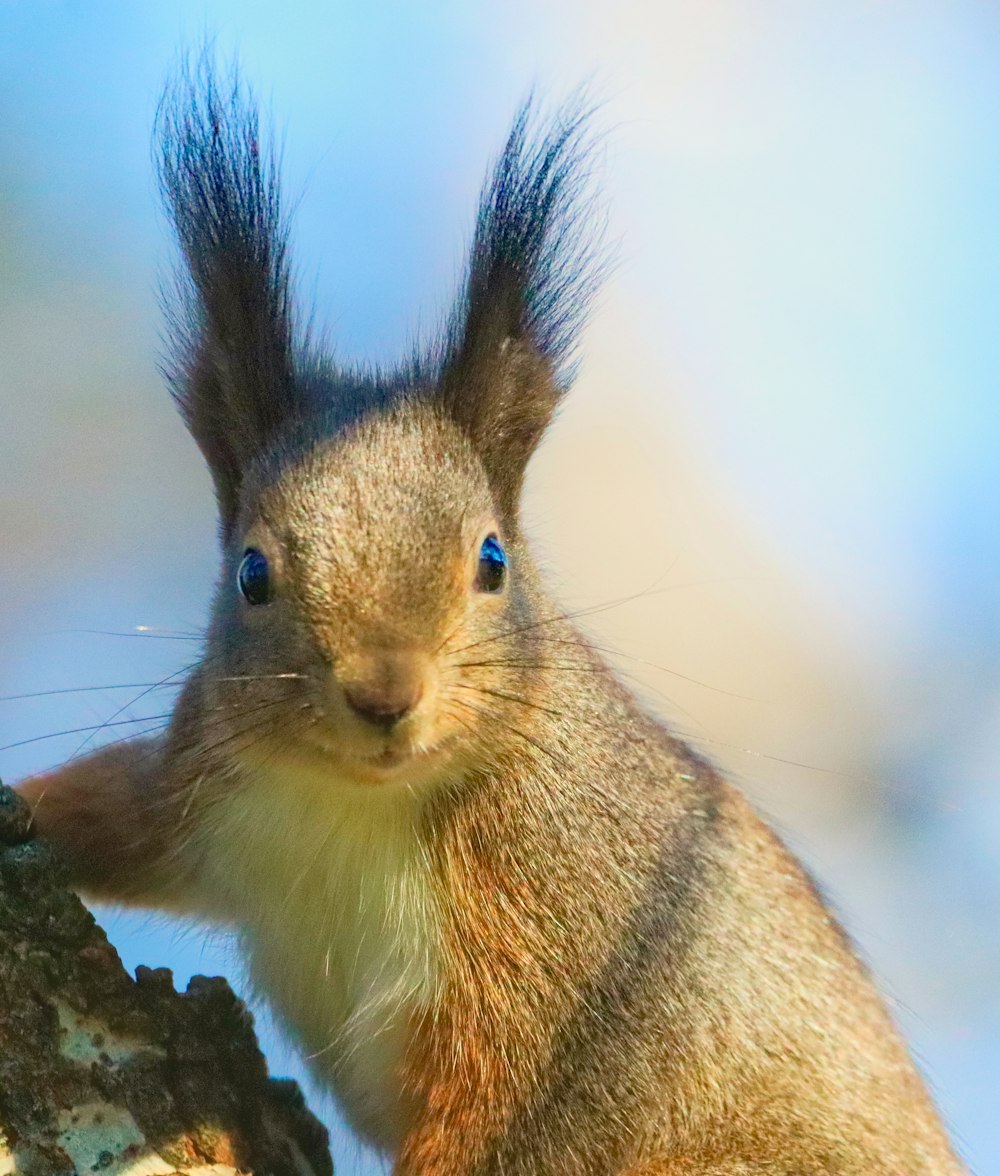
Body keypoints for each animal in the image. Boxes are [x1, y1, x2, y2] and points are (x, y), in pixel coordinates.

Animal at [19, 66, 964, 1176]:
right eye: (251, 572)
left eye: (492, 562)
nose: (384, 695)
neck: (359, 804)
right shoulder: (202, 776)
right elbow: (117, 814)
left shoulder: (570, 964)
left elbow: (518, 1130)